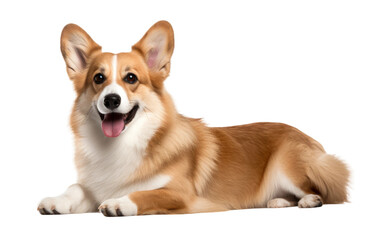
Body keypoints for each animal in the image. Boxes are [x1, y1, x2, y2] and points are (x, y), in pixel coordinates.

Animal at [38, 20, 350, 216]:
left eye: (131, 78)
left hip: (288, 163)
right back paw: (279, 202)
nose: (111, 100)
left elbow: (144, 193)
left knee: (322, 190)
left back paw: (308, 200)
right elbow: (75, 188)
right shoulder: (93, 186)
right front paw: (56, 201)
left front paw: (119, 203)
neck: (121, 145)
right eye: (98, 79)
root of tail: (310, 139)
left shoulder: (181, 193)